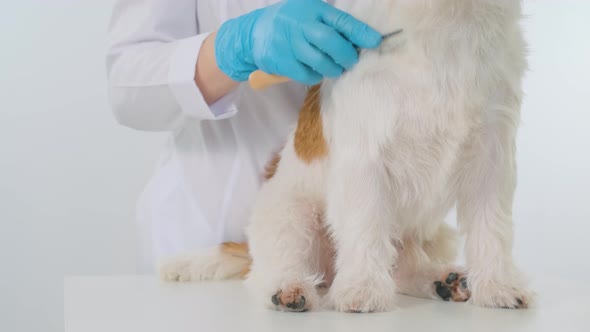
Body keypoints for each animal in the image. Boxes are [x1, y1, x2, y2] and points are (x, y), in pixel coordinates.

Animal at [160, 0, 536, 312]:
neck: (446, 21)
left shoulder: (493, 154)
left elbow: (492, 227)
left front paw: (499, 285)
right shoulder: (366, 157)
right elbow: (365, 223)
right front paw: (362, 289)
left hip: (416, 231)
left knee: (404, 264)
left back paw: (441, 280)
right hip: (292, 216)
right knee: (271, 269)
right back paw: (288, 288)